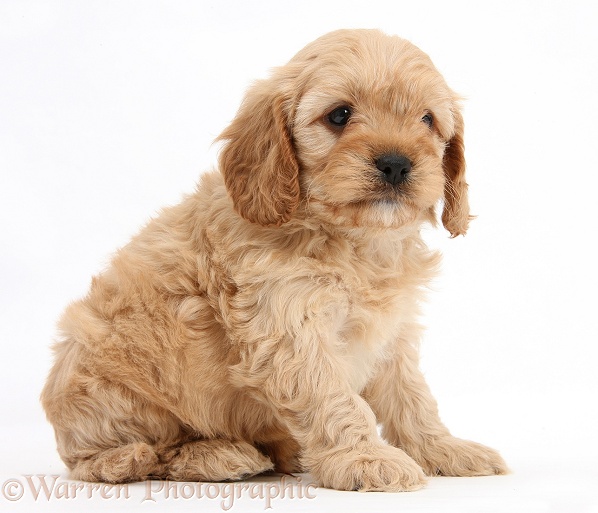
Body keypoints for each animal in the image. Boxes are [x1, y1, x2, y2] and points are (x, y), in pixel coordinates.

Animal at [42, 29, 508, 492]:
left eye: (427, 120)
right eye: (339, 115)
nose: (396, 164)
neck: (354, 241)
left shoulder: (391, 334)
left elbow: (412, 396)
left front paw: (444, 450)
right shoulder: (289, 327)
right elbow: (334, 397)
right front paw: (365, 458)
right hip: (111, 388)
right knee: (123, 456)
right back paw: (211, 455)